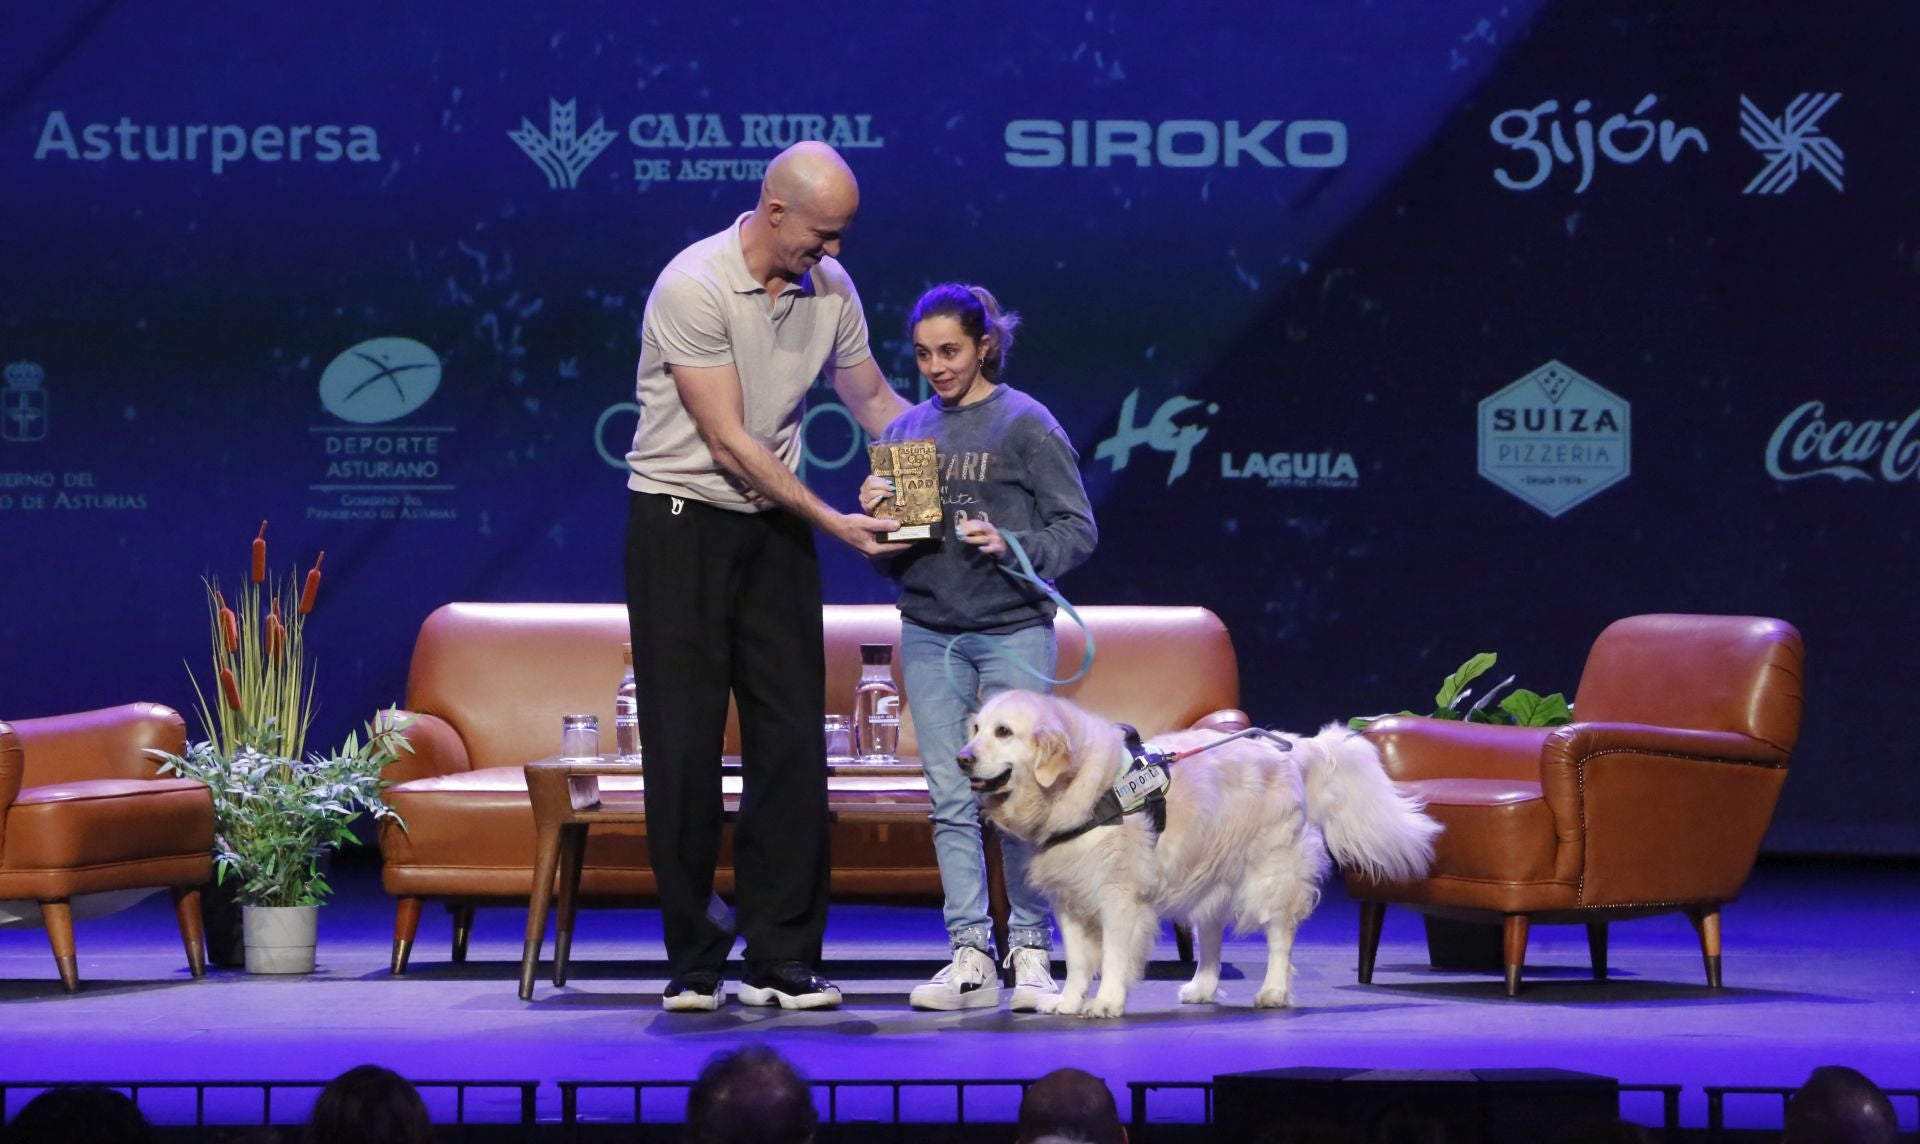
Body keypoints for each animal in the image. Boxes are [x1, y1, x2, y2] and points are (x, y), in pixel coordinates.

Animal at [960, 687, 1443, 1021]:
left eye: (1004, 732)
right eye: (977, 729)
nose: (963, 758)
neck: (1082, 787)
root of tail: (1287, 746)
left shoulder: (1119, 898)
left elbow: (1114, 956)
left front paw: (1107, 1001)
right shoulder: (1069, 899)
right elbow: (1079, 963)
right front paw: (1068, 1001)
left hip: (1271, 876)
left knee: (1279, 939)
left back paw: (1272, 991)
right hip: (1206, 870)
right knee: (1211, 934)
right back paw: (1202, 987)